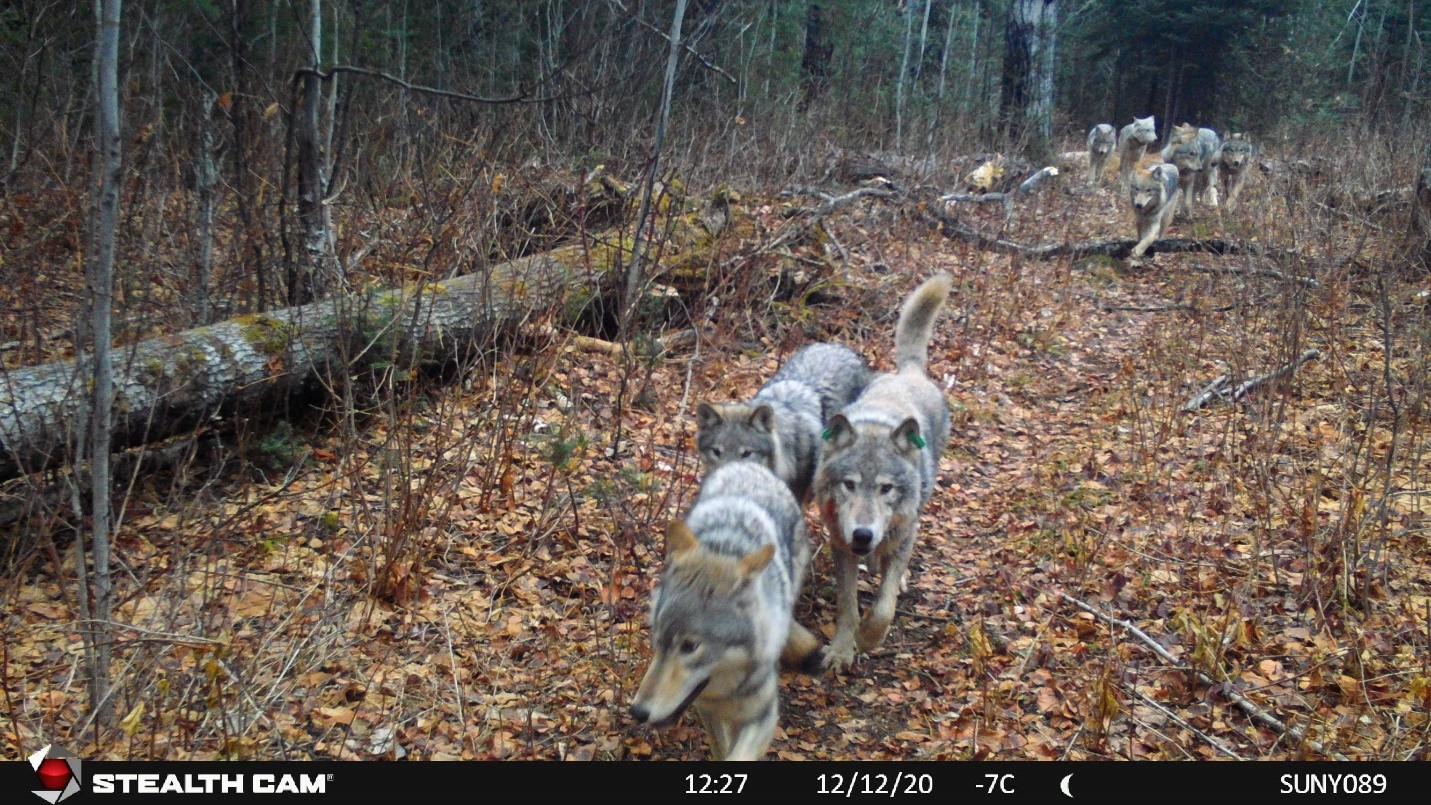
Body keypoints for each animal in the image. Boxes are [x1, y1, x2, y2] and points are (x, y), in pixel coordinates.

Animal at [626, 460, 818, 760]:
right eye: (657, 640)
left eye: (689, 646)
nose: (637, 712)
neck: (726, 692)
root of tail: (746, 464)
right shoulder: (708, 712)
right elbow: (722, 749)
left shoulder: (763, 718)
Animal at [812, 274, 955, 672]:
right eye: (849, 485)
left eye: (886, 489)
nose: (863, 533)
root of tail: (909, 372)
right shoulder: (841, 545)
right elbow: (847, 606)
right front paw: (842, 649)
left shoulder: (903, 534)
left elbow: (883, 610)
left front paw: (866, 639)